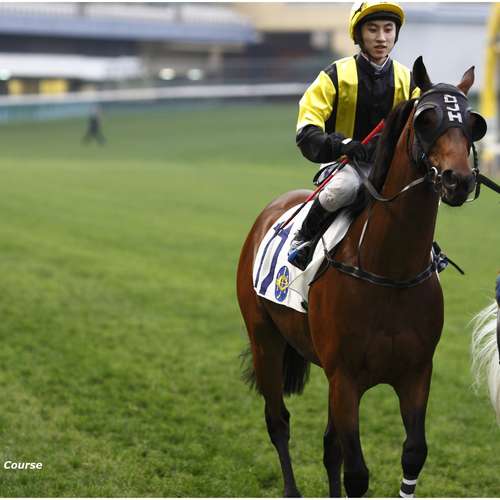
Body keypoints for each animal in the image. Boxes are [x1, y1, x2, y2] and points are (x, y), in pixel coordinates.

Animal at [236, 56, 487, 498]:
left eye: (473, 123)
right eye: (426, 119)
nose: (458, 180)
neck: (390, 272)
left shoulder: (415, 374)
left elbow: (412, 454)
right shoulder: (347, 379)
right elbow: (356, 471)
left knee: (328, 444)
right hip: (264, 338)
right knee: (278, 421)